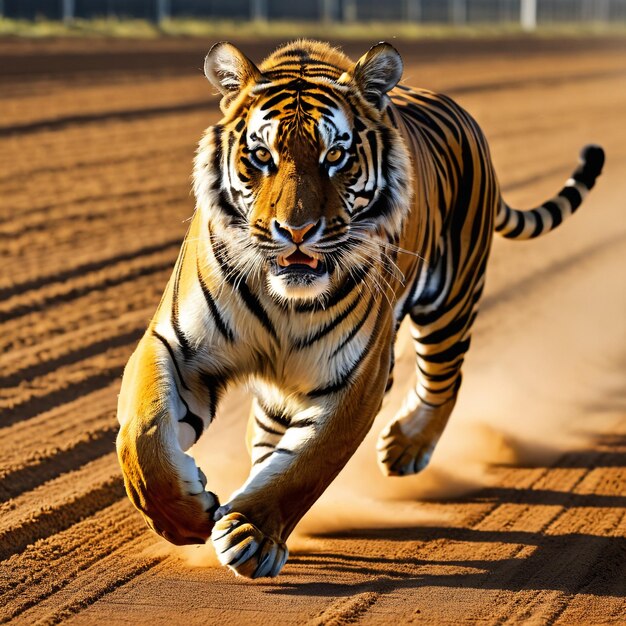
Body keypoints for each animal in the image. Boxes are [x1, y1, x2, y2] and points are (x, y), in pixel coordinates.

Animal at [114, 37, 604, 576]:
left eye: (335, 156)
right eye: (262, 156)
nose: (297, 230)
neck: (283, 298)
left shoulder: (355, 376)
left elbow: (309, 463)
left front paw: (253, 535)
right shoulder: (177, 345)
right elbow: (143, 434)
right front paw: (184, 516)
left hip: (451, 303)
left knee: (446, 380)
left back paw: (406, 446)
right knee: (268, 432)